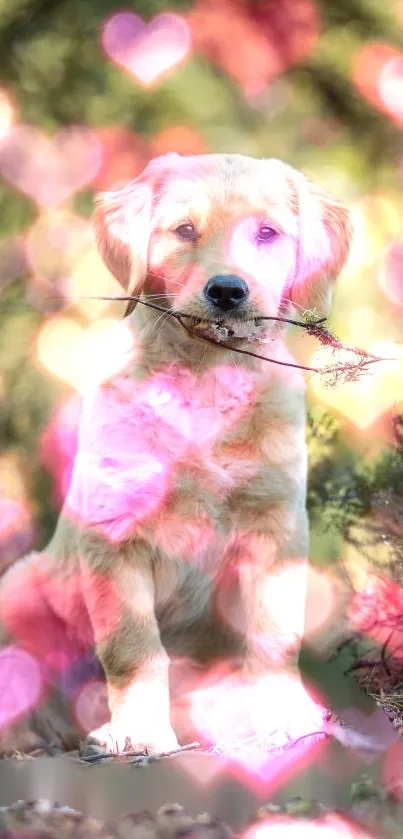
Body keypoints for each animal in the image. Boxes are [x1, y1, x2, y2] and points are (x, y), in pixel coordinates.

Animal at [0, 154, 354, 756]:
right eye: (185, 231)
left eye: (267, 233)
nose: (227, 291)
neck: (205, 374)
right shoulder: (115, 532)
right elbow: (134, 646)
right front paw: (140, 731)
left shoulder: (277, 526)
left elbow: (274, 636)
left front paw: (286, 717)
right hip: (20, 589)